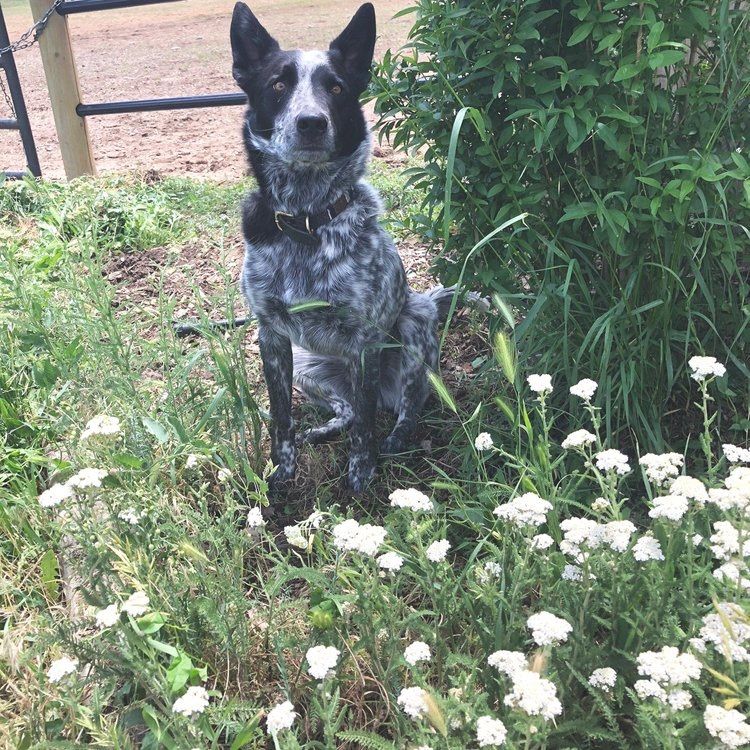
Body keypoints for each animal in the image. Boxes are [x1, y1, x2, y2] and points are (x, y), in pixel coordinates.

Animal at [229, 2, 456, 496]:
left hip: (415, 323)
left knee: (402, 407)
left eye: (336, 87)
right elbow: (281, 417)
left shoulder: (364, 340)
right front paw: (281, 473)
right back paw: (322, 430)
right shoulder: (271, 337)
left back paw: (395, 439)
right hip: (308, 368)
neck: (306, 220)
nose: (311, 122)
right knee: (348, 409)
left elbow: (366, 428)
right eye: (278, 85)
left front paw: (361, 477)